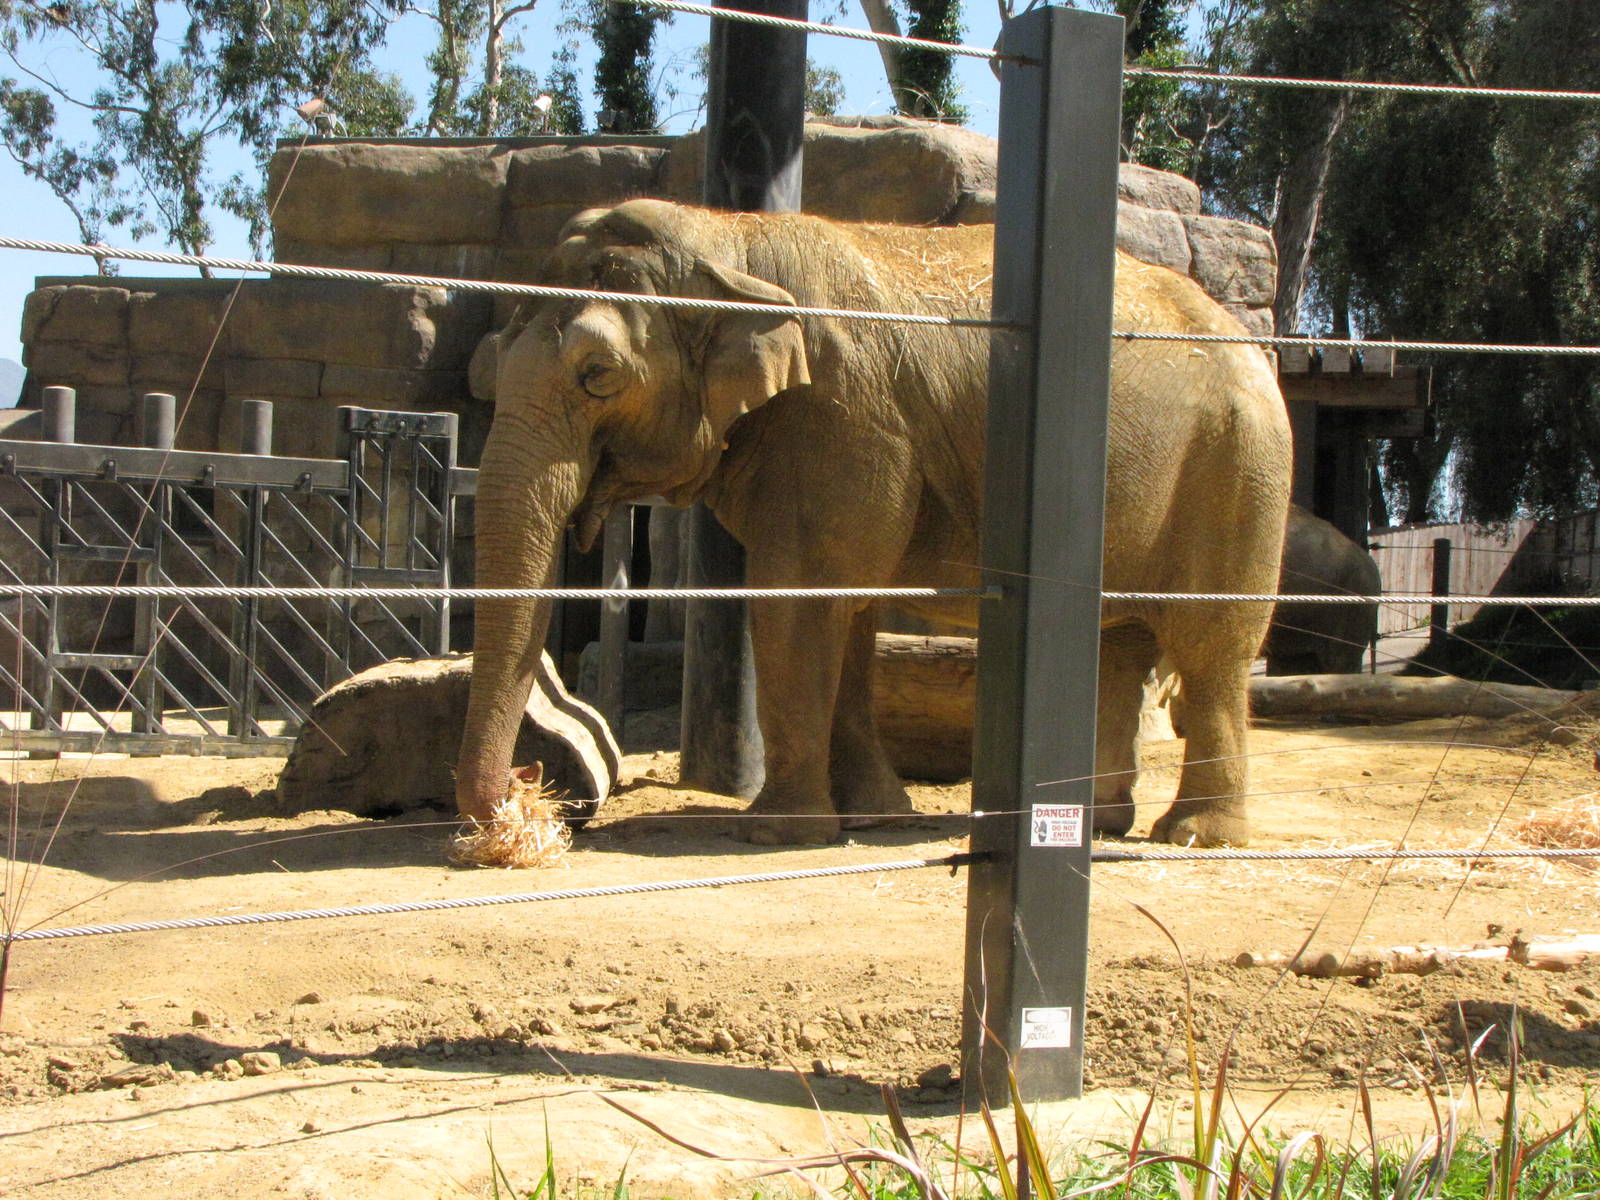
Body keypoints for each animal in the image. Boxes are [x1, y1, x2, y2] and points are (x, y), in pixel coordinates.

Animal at [457, 199, 1292, 847]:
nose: (529, 785)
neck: (732, 237)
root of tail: (1254, 343)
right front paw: (873, 815)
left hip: (1239, 465)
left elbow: (801, 600)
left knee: (1211, 647)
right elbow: (845, 610)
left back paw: (1193, 835)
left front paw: (776, 832)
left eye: (598, 376)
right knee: (1117, 645)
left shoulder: (845, 412)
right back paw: (1099, 821)